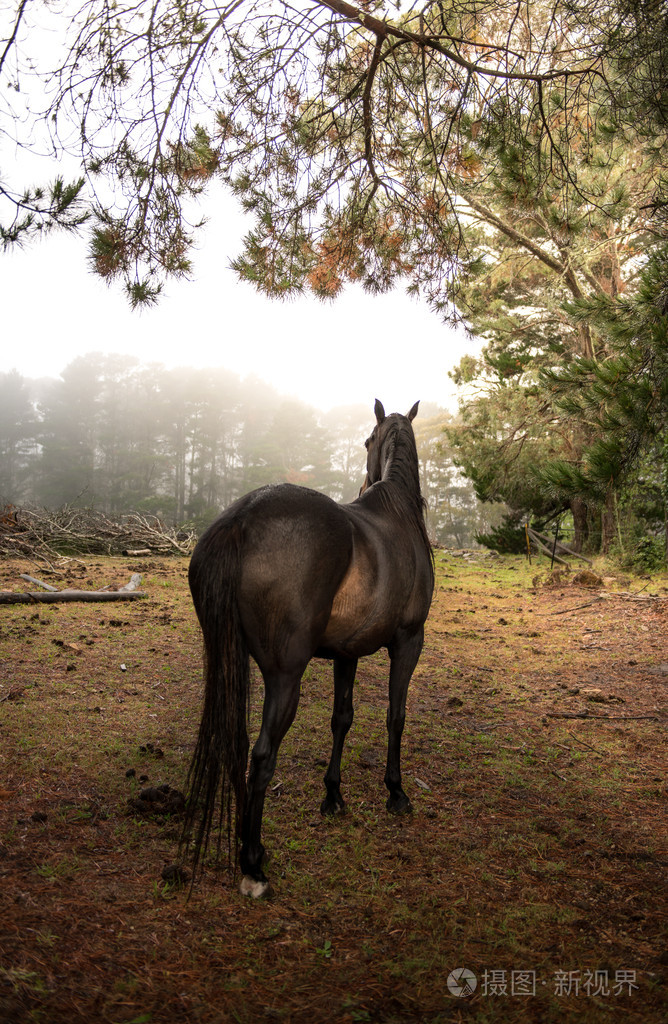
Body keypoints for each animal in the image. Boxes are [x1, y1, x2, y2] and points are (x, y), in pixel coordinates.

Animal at [181, 399, 432, 897]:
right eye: (368, 441)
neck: (399, 519)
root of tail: (243, 516)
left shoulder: (347, 653)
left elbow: (342, 719)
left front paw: (333, 794)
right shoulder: (408, 642)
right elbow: (395, 717)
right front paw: (395, 792)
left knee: (237, 745)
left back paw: (249, 845)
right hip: (285, 678)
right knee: (261, 756)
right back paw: (253, 863)